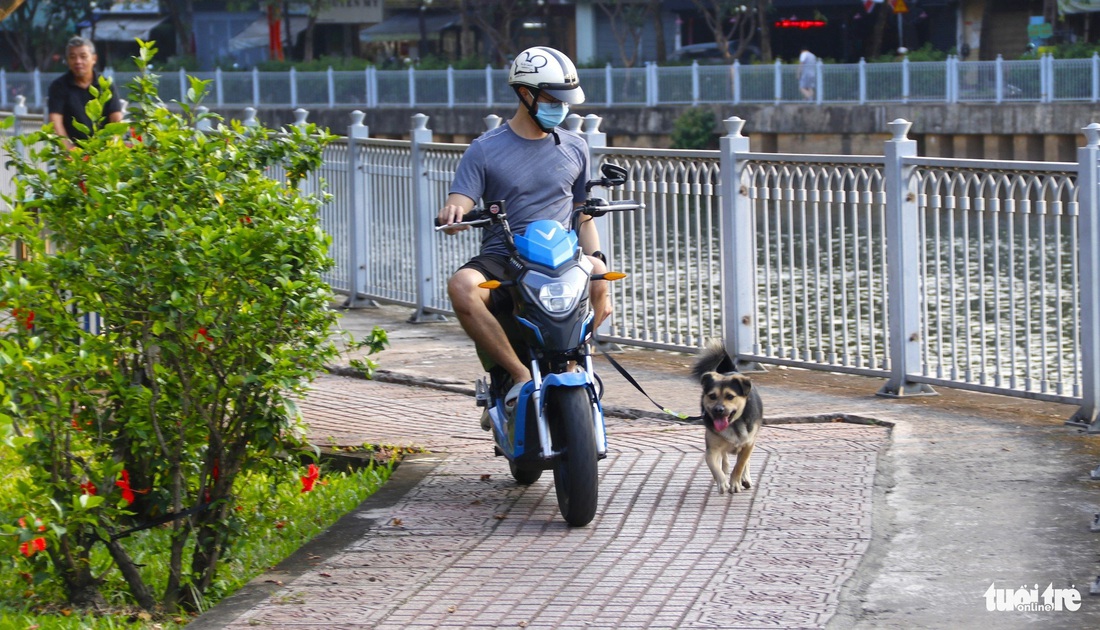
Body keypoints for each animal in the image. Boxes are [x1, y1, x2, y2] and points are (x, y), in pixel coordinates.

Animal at [690, 340, 761, 494]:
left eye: (730, 396)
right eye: (712, 396)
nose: (719, 410)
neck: (733, 424)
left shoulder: (748, 443)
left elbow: (740, 464)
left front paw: (735, 483)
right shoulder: (712, 448)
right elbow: (713, 465)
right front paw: (722, 481)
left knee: (745, 461)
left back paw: (745, 478)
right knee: (724, 457)